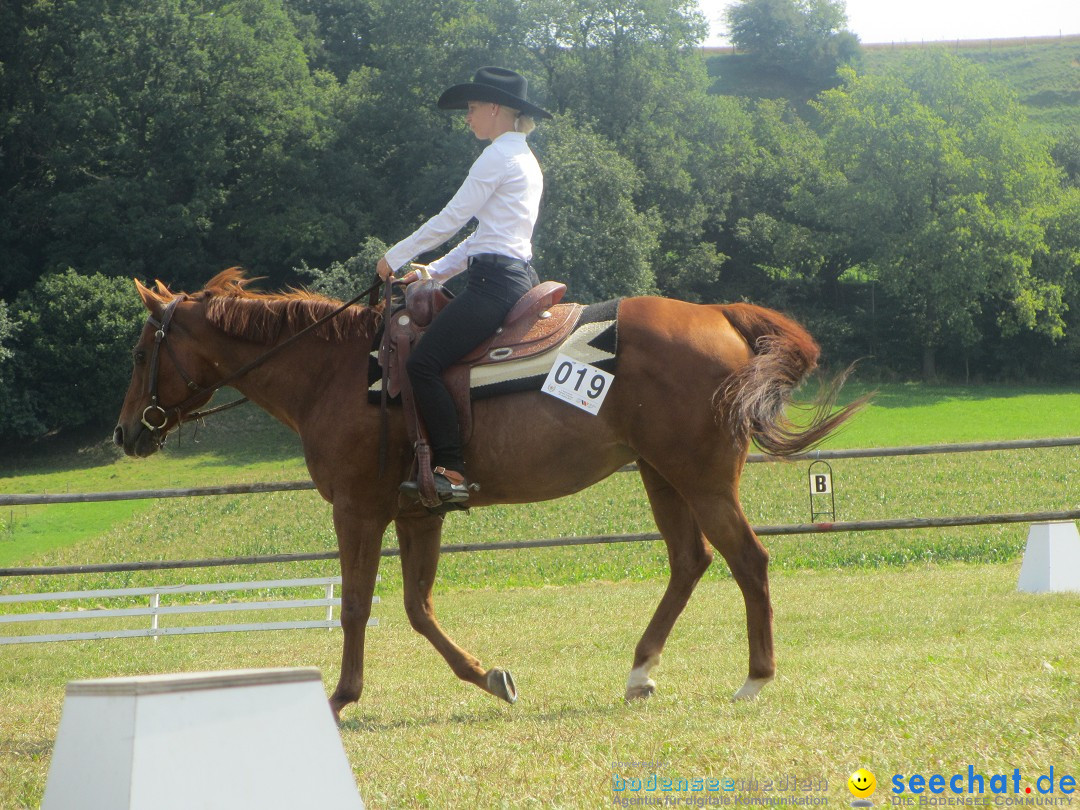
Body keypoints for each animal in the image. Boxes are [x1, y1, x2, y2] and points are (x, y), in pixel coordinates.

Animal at [113, 270, 864, 721]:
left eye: (140, 353)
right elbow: (417, 608)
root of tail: (720, 316)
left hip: (702, 477)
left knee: (748, 561)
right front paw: (489, 677)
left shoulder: (357, 510)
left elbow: (357, 606)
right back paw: (640, 671)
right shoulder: (418, 511)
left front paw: (342, 696)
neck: (337, 371)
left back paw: (755, 678)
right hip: (662, 474)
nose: (124, 433)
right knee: (690, 562)